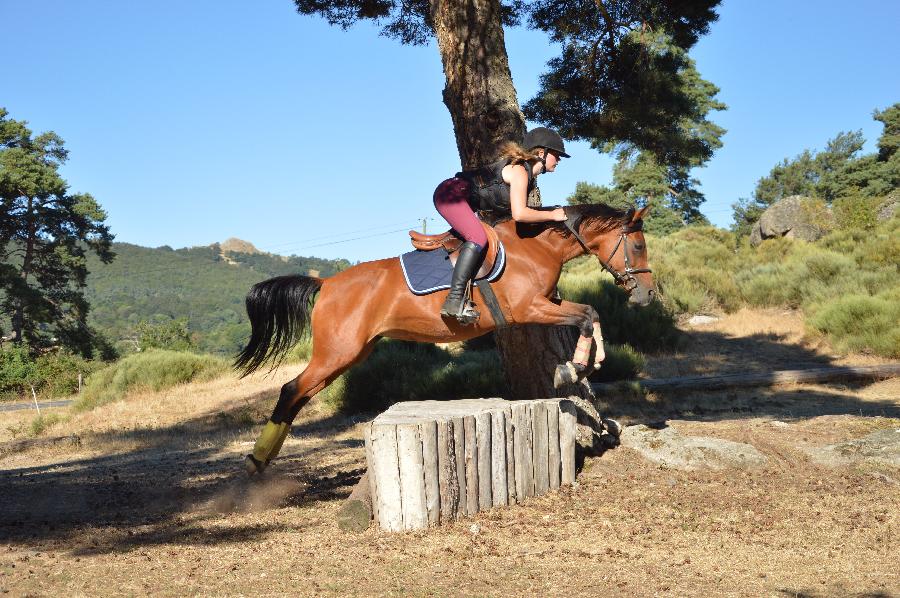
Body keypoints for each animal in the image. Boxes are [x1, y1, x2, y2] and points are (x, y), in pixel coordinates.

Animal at [236, 204, 652, 476]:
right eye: (638, 246)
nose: (647, 296)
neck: (537, 246)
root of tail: (325, 284)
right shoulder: (528, 308)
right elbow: (585, 317)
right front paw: (574, 367)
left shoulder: (547, 304)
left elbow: (590, 313)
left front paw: (590, 364)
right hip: (338, 351)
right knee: (291, 389)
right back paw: (257, 461)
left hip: (350, 354)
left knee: (300, 393)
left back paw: (263, 459)